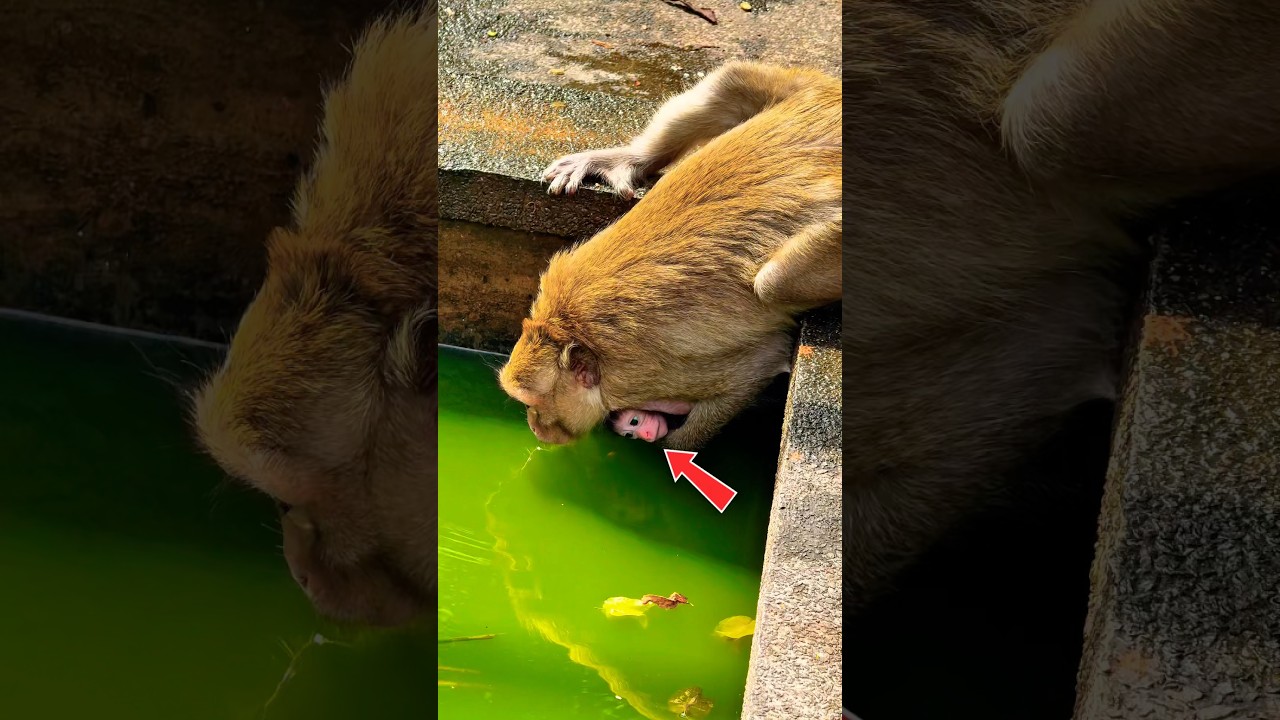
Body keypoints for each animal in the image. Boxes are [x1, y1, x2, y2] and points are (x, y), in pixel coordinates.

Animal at [499, 62, 841, 450]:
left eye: (533, 402)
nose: (535, 426)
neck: (568, 328)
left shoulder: (644, 375)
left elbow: (762, 363)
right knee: (729, 79)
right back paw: (622, 160)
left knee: (775, 282)